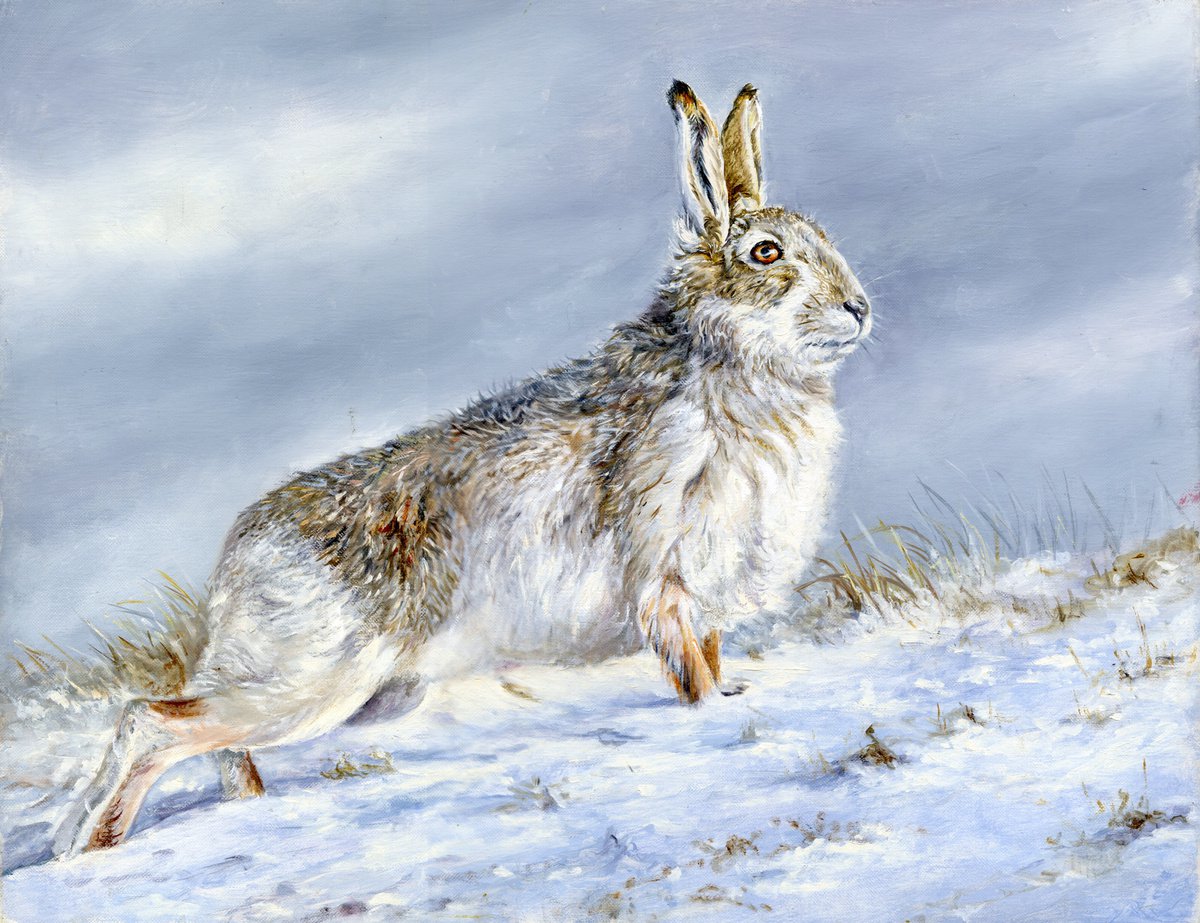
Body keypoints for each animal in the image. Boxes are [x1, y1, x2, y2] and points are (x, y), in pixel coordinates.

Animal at [54, 80, 871, 857]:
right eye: (766, 254)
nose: (859, 307)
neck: (730, 358)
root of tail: (238, 559)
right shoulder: (665, 583)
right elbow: (692, 678)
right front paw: (715, 716)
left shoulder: (702, 603)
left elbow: (712, 663)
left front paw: (736, 697)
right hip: (313, 677)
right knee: (153, 723)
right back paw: (88, 848)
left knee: (212, 744)